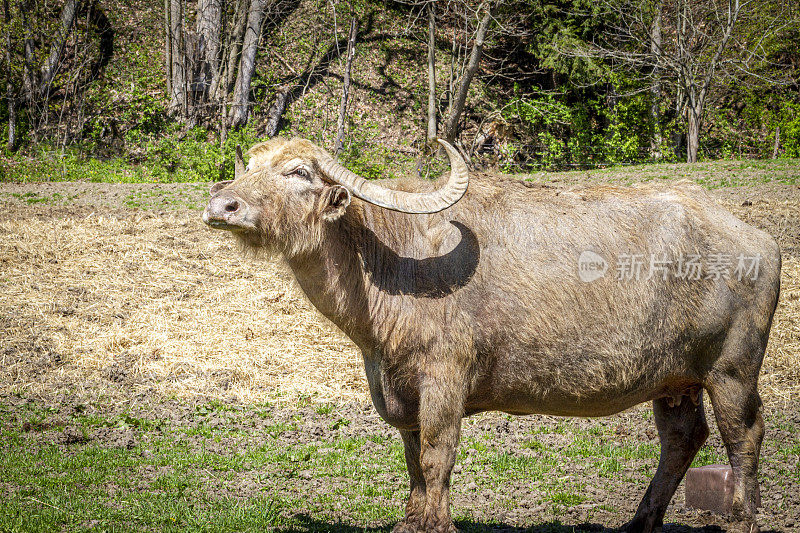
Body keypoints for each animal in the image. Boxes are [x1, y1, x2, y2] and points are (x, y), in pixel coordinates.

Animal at [202, 139, 780, 532]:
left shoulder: (444, 377)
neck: (392, 258)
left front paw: (435, 524)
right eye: (248, 166)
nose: (222, 206)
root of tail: (758, 239)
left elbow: (437, 453)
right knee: (683, 438)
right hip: (675, 379)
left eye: (299, 171)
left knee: (743, 433)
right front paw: (411, 519)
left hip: (731, 370)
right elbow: (413, 460)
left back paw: (740, 516)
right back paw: (640, 522)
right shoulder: (400, 388)